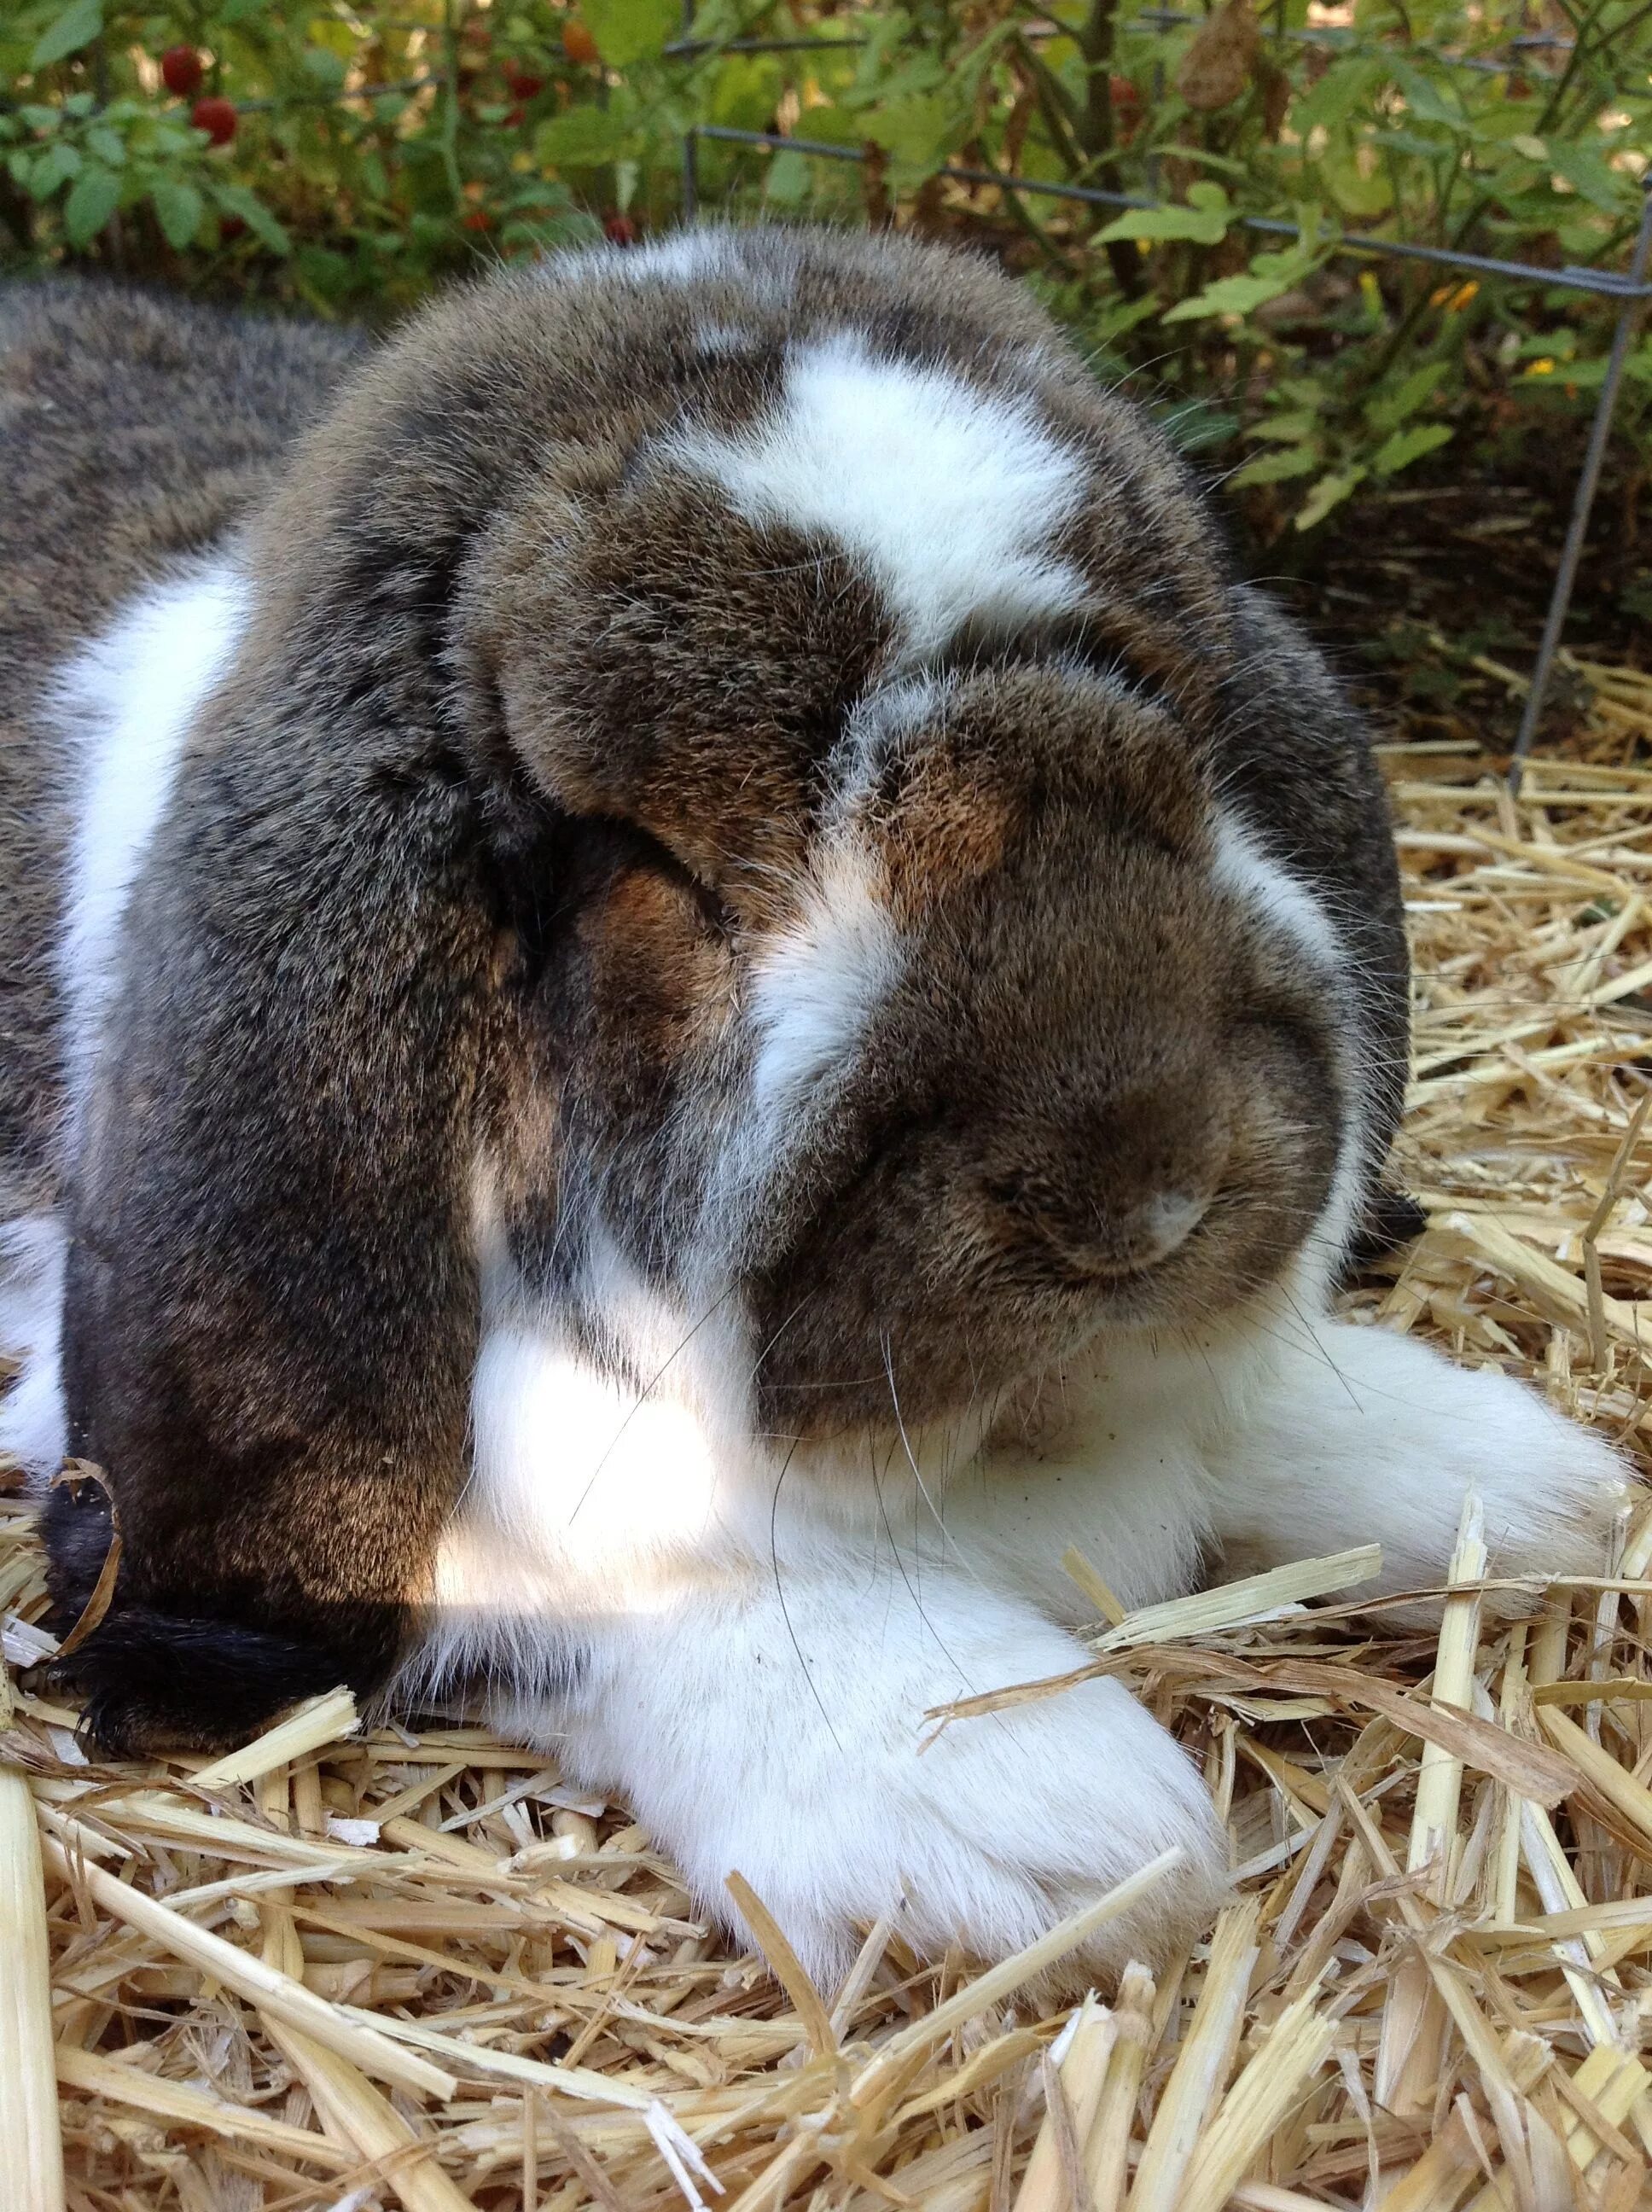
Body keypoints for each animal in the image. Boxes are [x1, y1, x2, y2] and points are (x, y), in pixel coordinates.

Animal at [0, 229, 1627, 1990]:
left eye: (1182, 728)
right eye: (636, 854)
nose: (1138, 1189)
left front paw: (1517, 1479)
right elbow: (564, 1575)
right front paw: (1027, 1818)